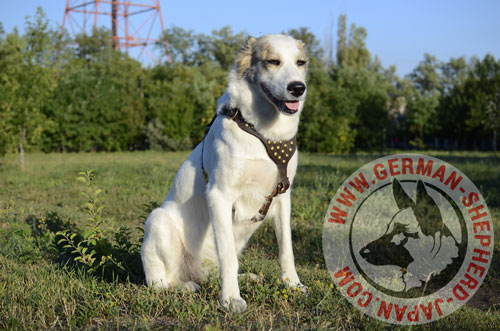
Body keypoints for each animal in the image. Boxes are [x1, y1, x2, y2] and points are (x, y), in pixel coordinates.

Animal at [141, 34, 308, 314]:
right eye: (273, 61)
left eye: (300, 62)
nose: (298, 88)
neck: (264, 133)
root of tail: (198, 274)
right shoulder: (219, 196)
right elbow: (228, 257)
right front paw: (230, 299)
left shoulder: (283, 196)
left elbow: (287, 250)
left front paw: (292, 285)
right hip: (158, 221)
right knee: (160, 283)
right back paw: (185, 287)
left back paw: (246, 277)